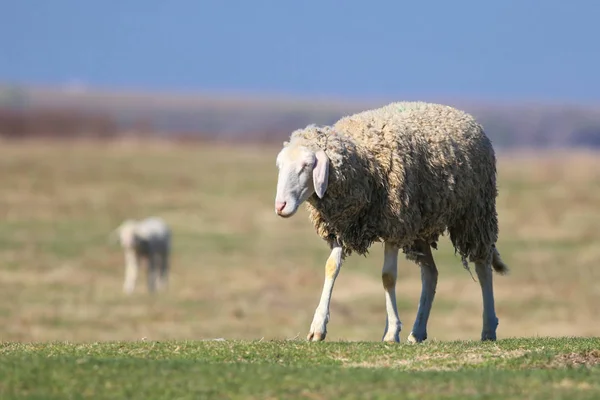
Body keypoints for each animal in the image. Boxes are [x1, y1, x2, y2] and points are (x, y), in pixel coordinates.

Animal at [274, 101, 508, 342]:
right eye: (279, 166)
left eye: (306, 165)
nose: (280, 206)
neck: (364, 162)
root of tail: (462, 114)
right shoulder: (342, 224)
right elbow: (331, 268)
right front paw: (318, 327)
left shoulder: (394, 225)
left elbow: (388, 277)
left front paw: (392, 331)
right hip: (420, 227)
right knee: (431, 273)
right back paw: (418, 331)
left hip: (475, 215)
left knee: (482, 266)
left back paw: (488, 328)